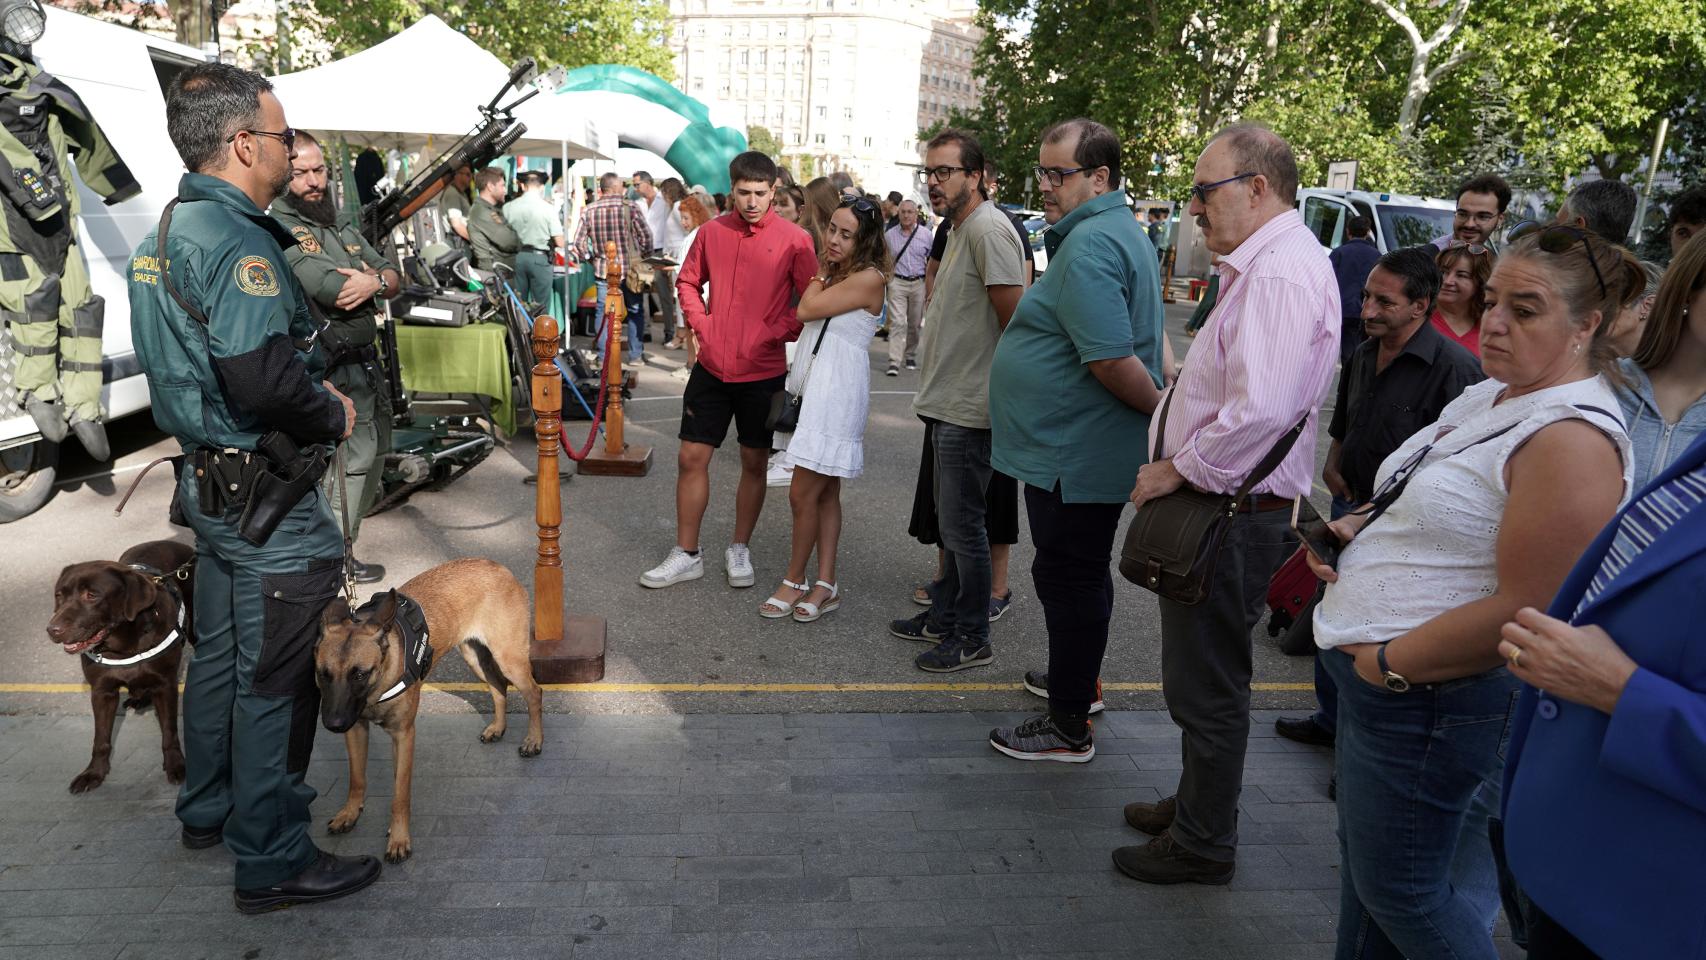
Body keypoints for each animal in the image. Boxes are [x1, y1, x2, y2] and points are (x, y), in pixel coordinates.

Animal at [48, 542, 196, 798]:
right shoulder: (102, 691)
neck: (124, 647)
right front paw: (93, 773)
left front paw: (176, 765)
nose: (52, 630)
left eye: (92, 595)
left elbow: (169, 731)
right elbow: (101, 739)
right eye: (59, 595)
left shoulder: (165, 684)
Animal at [313, 555, 539, 862]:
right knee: (498, 687)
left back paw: (534, 740)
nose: (333, 724)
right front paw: (349, 813)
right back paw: (498, 728)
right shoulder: (356, 729)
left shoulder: (404, 735)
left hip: (508, 657)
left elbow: (400, 794)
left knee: (534, 693)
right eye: (323, 674)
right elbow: (356, 779)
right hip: (475, 657)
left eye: (359, 674)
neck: (378, 684)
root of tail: (497, 566)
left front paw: (398, 839)